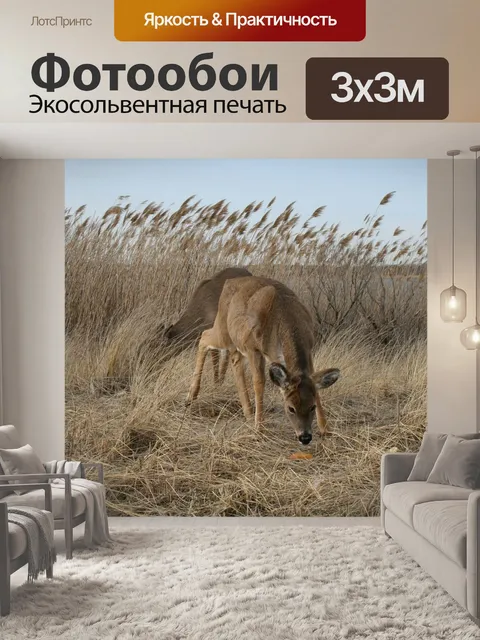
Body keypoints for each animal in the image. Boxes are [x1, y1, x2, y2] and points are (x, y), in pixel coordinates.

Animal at [186, 275, 341, 445]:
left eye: (312, 407)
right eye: (290, 408)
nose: (305, 437)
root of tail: (229, 281)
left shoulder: (309, 349)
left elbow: (315, 385)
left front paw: (326, 429)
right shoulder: (254, 349)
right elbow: (259, 383)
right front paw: (259, 429)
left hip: (235, 341)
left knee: (234, 361)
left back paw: (247, 413)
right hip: (223, 331)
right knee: (204, 336)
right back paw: (191, 396)